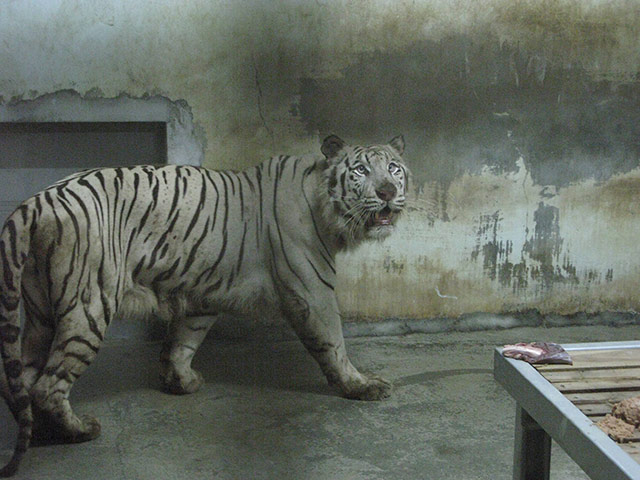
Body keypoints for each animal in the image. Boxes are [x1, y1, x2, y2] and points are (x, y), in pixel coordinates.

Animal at [0, 134, 408, 476]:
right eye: (361, 170)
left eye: (394, 168)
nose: (388, 191)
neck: (326, 207)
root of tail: (35, 201)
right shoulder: (312, 288)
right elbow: (333, 342)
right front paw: (360, 385)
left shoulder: (204, 291)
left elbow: (184, 339)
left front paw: (180, 381)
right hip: (89, 306)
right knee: (48, 385)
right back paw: (79, 430)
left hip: (40, 312)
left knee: (23, 380)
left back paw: (40, 431)